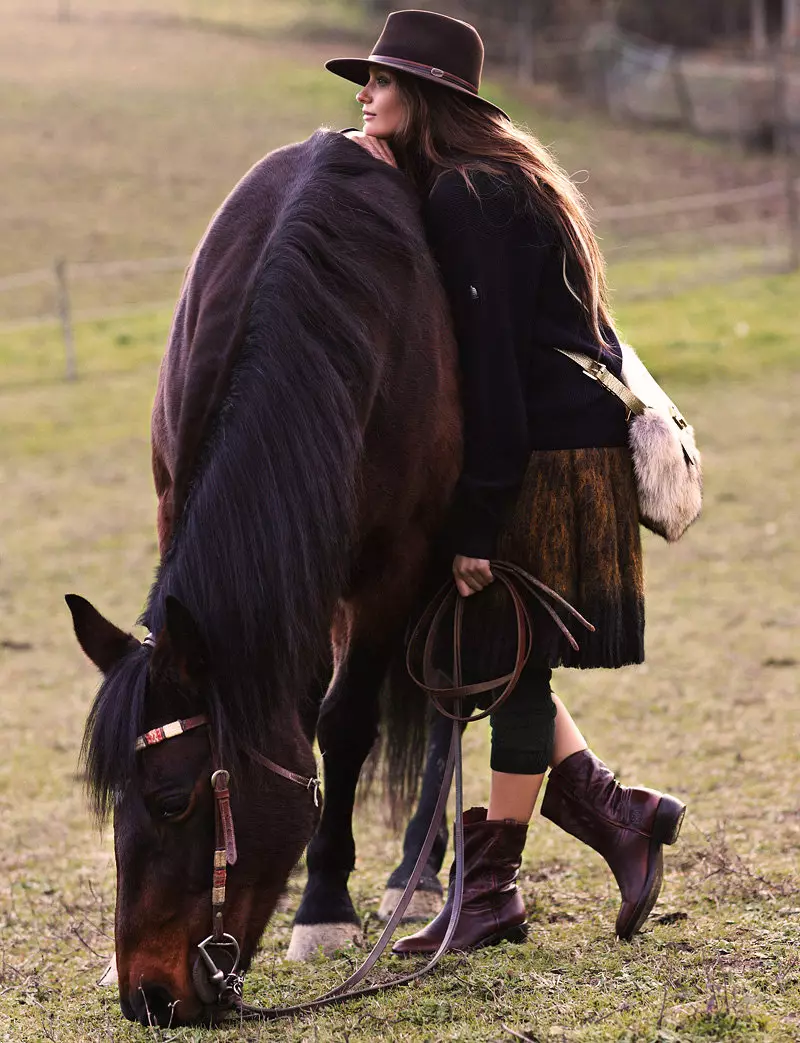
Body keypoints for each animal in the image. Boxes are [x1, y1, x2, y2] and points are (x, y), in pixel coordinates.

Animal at [68, 130, 463, 1026]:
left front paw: (322, 907)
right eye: (114, 802)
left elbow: (343, 722)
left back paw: (415, 874)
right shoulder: (189, 510)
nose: (148, 994)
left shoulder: (396, 563)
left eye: (172, 800)